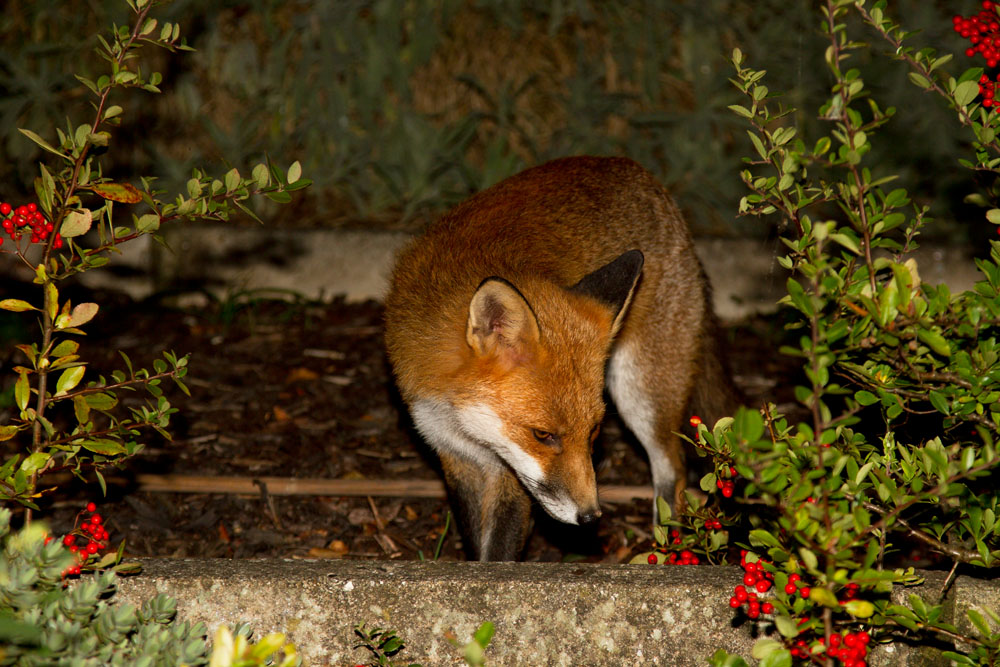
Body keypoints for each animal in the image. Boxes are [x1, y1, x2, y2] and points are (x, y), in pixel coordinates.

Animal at [383, 156, 739, 561]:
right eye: (543, 434)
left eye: (595, 430)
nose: (590, 517)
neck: (462, 420)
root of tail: (643, 176)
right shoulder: (454, 453)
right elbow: (477, 542)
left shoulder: (509, 471)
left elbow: (500, 550)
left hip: (642, 393)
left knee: (673, 469)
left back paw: (666, 545)